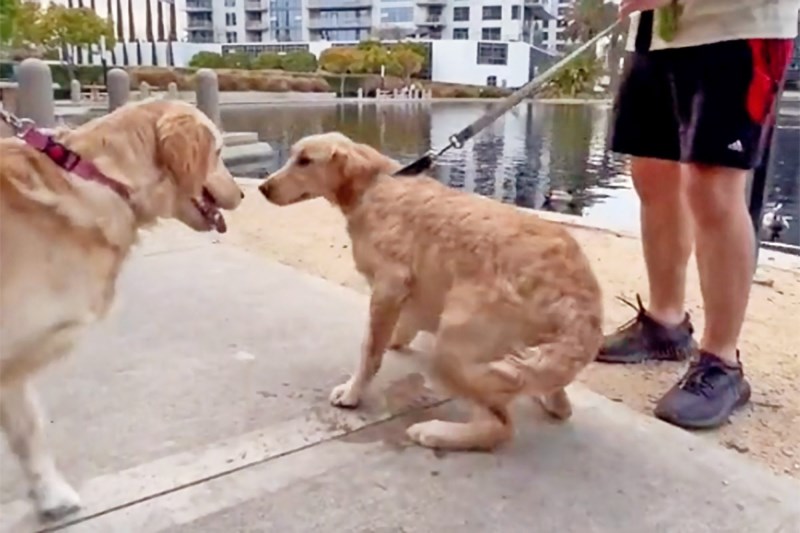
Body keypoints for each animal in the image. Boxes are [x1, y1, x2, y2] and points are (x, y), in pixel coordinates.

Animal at [0, 97, 244, 516]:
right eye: (219, 151)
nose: (244, 195)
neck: (102, 180)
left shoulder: (15, 357)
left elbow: (28, 429)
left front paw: (51, 495)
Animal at [260, 134, 604, 454]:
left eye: (305, 161)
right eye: (293, 156)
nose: (263, 188)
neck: (373, 186)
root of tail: (581, 300)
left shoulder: (389, 285)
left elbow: (370, 351)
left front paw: (352, 392)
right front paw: (398, 338)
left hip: (451, 344)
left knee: (500, 425)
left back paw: (435, 432)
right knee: (553, 399)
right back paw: (549, 397)